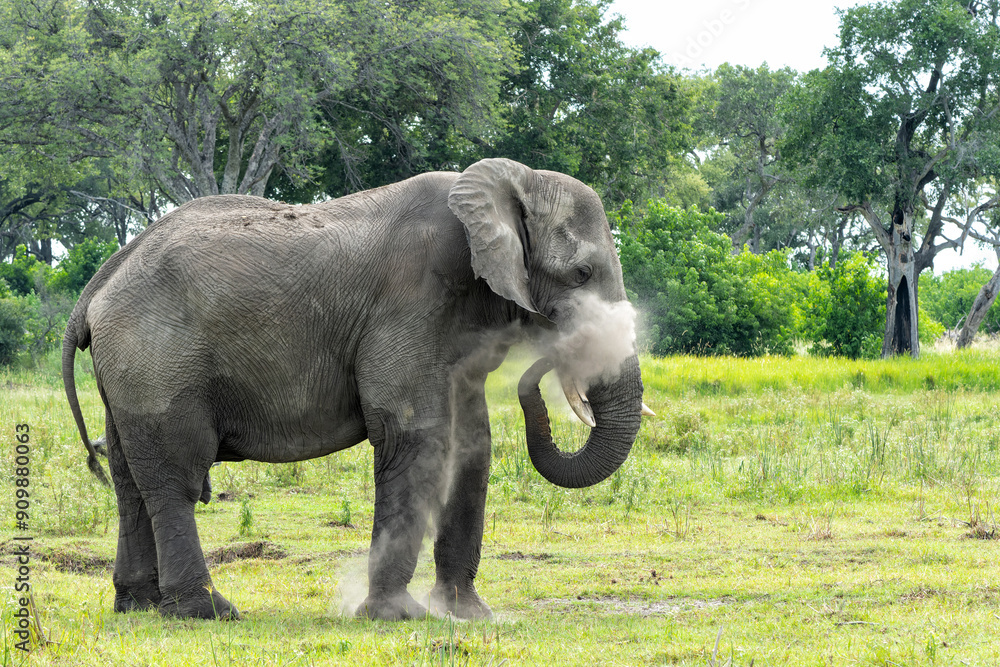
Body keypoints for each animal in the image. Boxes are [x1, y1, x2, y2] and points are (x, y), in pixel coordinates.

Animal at [63, 158, 650, 621]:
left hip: (129, 369)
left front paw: (468, 616)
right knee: (174, 477)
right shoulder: (412, 300)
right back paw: (207, 612)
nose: (559, 355)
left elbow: (473, 446)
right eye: (581, 274)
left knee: (128, 480)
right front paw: (398, 616)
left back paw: (138, 606)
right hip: (157, 359)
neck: (511, 184)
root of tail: (99, 284)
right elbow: (414, 436)